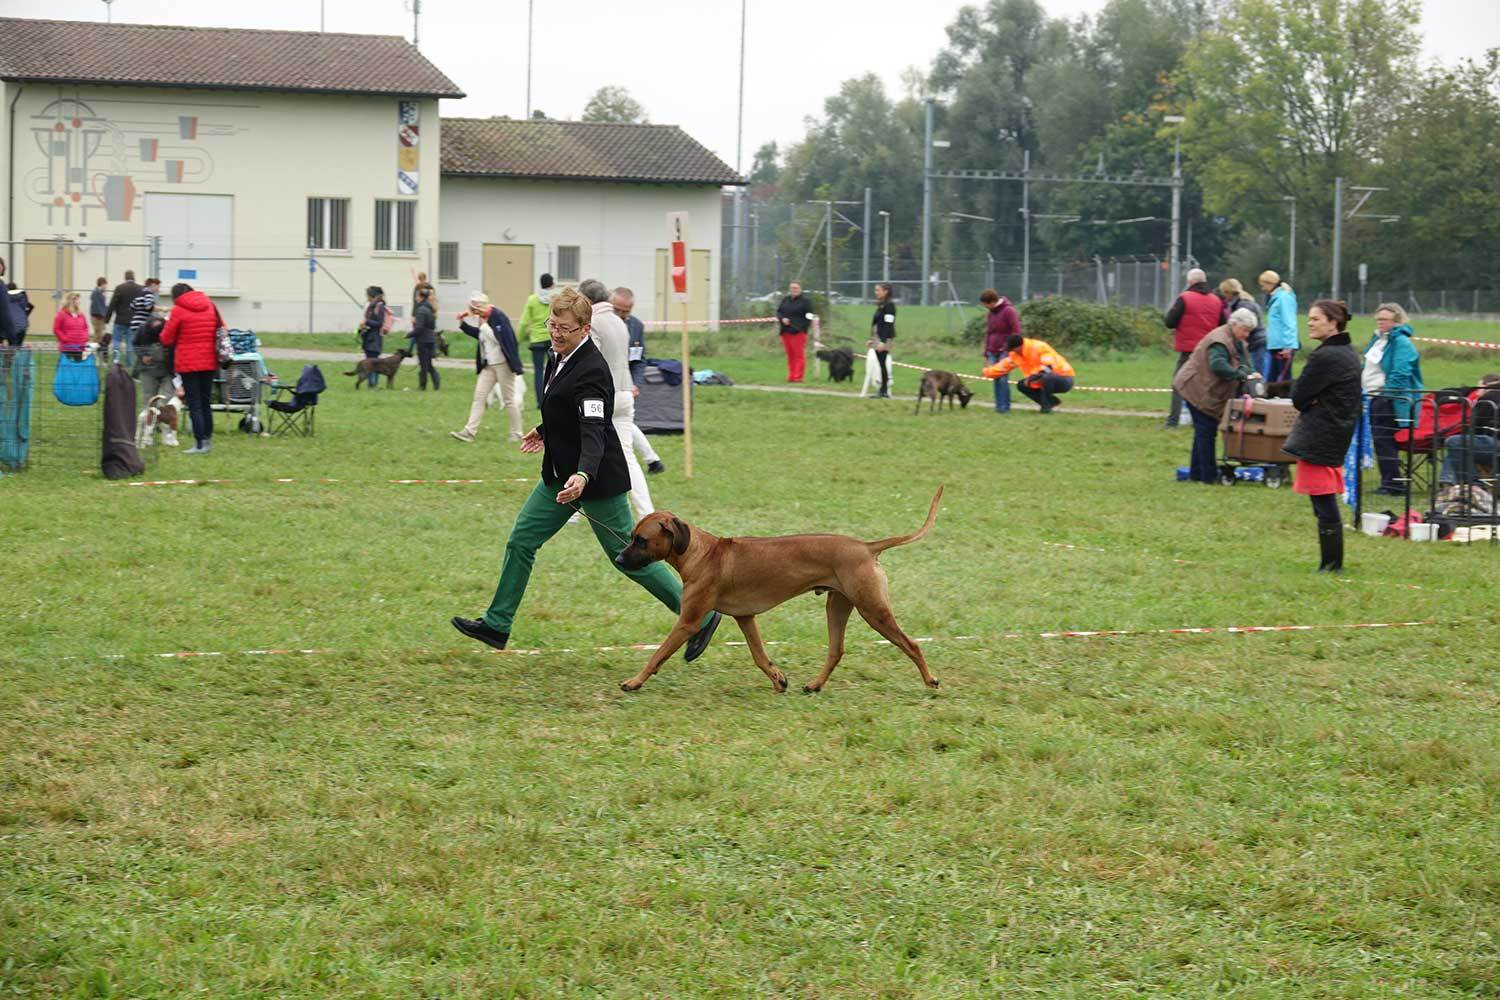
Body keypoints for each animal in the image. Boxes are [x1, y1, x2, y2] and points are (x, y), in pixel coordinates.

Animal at [612, 485, 942, 692]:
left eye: (641, 540)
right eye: (632, 536)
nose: (618, 559)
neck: (702, 553)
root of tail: (866, 547)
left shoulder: (687, 622)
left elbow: (657, 654)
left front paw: (634, 681)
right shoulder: (745, 618)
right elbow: (759, 656)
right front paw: (778, 679)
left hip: (872, 609)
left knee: (911, 644)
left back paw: (930, 680)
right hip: (838, 605)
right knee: (836, 650)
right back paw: (815, 685)